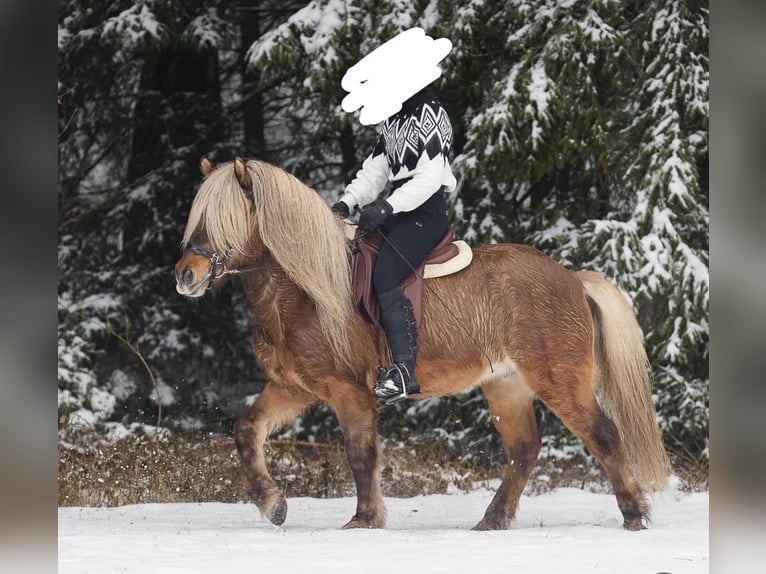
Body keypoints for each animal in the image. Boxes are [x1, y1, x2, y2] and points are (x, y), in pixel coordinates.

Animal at [174, 156, 670, 531]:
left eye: (228, 218)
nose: (186, 276)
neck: (306, 291)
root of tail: (571, 278)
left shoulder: (350, 391)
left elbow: (360, 454)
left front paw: (364, 519)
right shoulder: (294, 388)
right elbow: (246, 430)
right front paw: (272, 504)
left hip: (560, 381)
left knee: (604, 435)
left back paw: (634, 515)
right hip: (507, 385)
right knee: (524, 451)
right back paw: (492, 520)